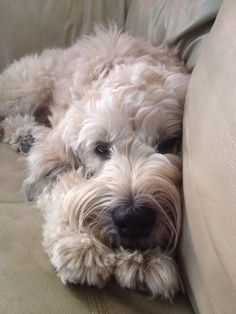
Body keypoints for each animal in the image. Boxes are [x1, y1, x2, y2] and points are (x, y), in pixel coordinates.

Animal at [0, 24, 190, 300]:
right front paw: (79, 242)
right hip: (29, 87)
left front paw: (145, 260)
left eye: (169, 142)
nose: (133, 219)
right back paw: (24, 132)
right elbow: (64, 190)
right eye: (100, 148)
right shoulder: (56, 158)